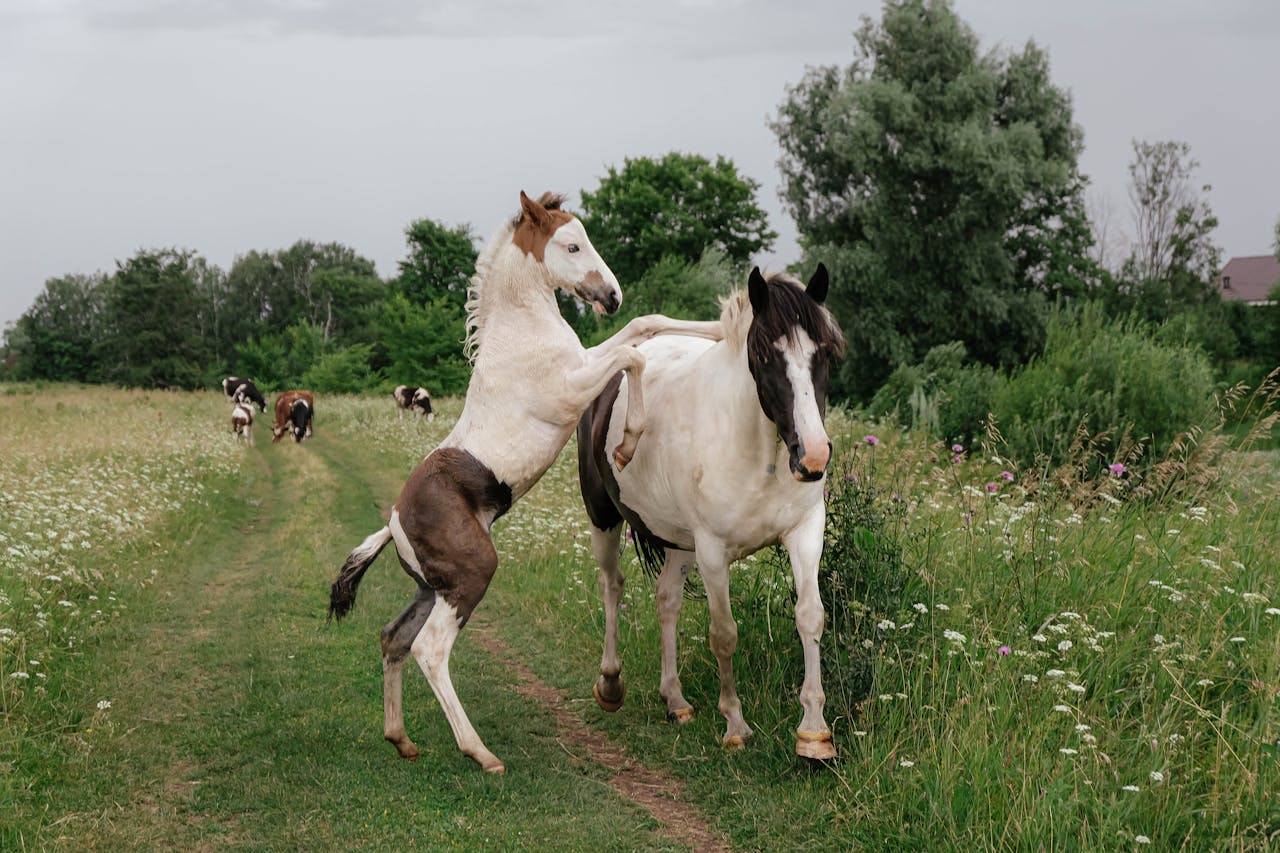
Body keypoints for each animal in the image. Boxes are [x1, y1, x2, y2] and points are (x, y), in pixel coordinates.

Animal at [327, 191, 725, 774]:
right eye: (571, 245)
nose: (610, 295)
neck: (522, 332)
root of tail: (393, 523)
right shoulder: (571, 387)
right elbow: (630, 352)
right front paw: (627, 443)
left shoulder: (585, 361)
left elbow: (641, 327)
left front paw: (720, 326)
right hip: (471, 575)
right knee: (430, 650)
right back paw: (480, 752)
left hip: (431, 587)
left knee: (393, 639)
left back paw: (401, 740)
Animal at [577, 264, 845, 761]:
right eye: (763, 353)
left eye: (825, 353)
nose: (813, 457)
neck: (759, 453)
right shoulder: (713, 551)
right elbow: (724, 633)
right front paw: (735, 724)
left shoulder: (805, 532)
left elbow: (810, 616)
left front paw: (814, 734)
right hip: (605, 518)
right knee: (612, 586)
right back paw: (610, 683)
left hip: (680, 544)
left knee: (666, 600)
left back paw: (675, 699)